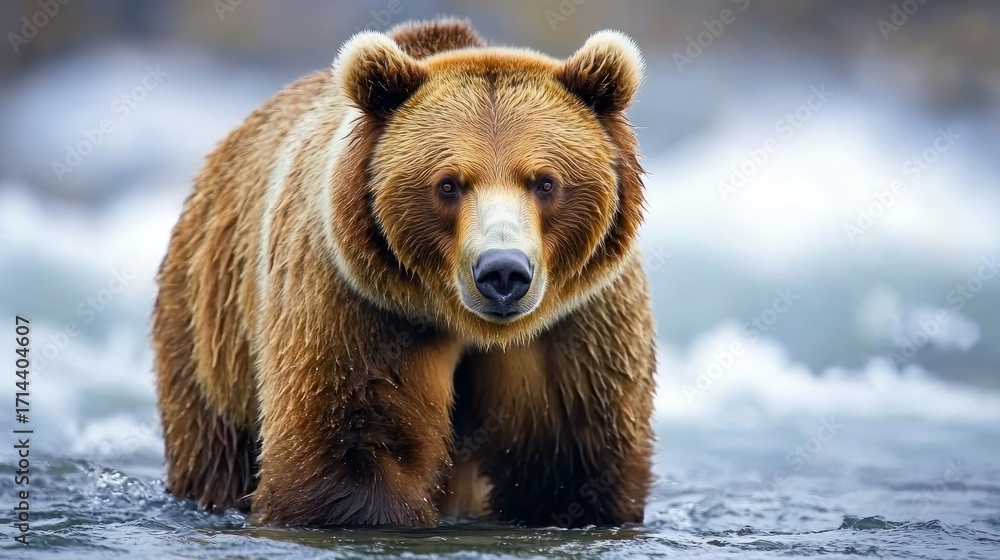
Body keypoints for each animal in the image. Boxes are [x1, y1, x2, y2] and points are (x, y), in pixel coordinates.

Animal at [153, 18, 655, 528]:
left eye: (545, 181)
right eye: (448, 184)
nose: (503, 272)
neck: (471, 328)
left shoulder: (577, 329)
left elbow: (569, 473)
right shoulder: (358, 307)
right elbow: (347, 453)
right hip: (209, 335)